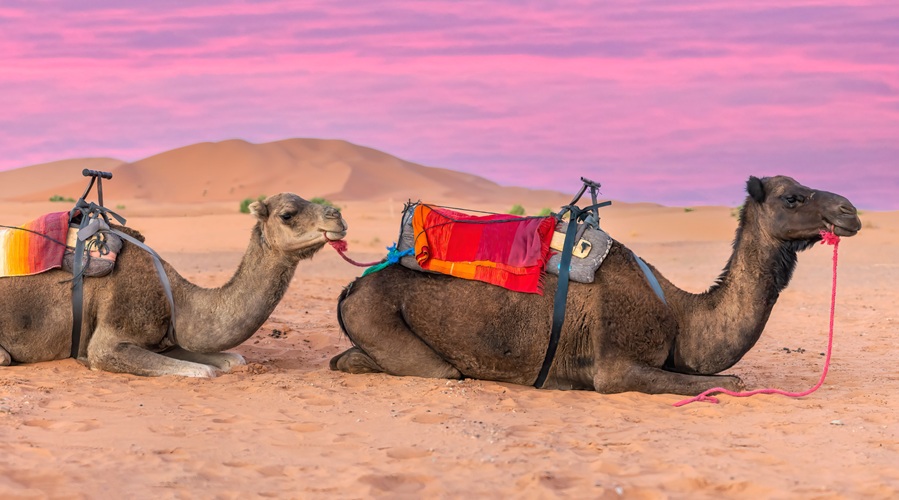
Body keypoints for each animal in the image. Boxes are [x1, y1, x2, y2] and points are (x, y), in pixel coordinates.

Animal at [0, 193, 347, 377]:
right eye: (288, 214)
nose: (338, 217)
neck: (176, 295)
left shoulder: (169, 337)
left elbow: (233, 359)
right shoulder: (108, 342)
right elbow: (204, 371)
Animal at [331, 176, 861, 395]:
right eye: (793, 197)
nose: (850, 210)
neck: (682, 312)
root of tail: (351, 286)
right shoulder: (616, 368)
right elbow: (725, 382)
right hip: (383, 319)